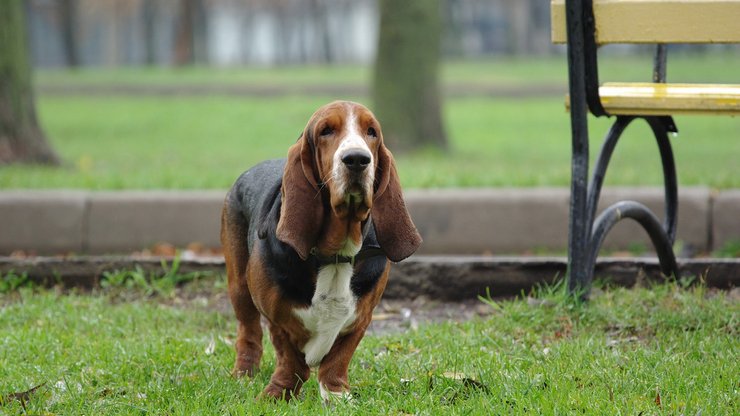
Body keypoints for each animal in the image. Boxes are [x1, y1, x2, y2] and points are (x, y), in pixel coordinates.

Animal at [220, 100, 422, 400]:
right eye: (326, 131)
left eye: (371, 132)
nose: (357, 159)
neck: (335, 254)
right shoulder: (277, 318)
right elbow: (289, 358)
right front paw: (277, 395)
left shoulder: (361, 318)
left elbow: (337, 360)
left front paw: (336, 396)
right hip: (239, 287)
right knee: (249, 333)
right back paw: (244, 374)